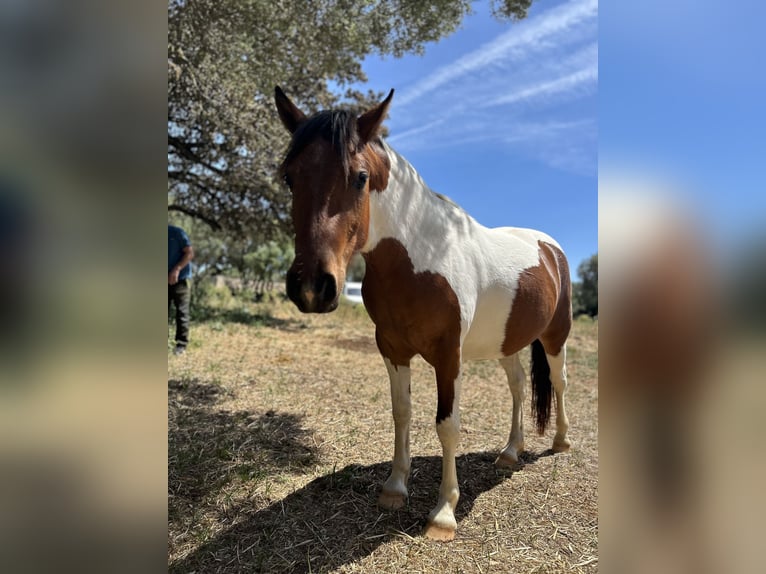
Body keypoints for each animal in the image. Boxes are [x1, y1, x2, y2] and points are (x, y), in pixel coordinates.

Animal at [274, 86, 573, 541]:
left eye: (360, 177)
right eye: (290, 177)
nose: (312, 287)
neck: (422, 259)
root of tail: (549, 248)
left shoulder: (448, 356)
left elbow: (447, 424)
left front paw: (443, 513)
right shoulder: (392, 349)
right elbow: (402, 412)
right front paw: (395, 488)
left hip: (556, 337)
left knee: (557, 382)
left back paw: (560, 442)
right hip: (507, 343)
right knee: (519, 387)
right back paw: (510, 451)